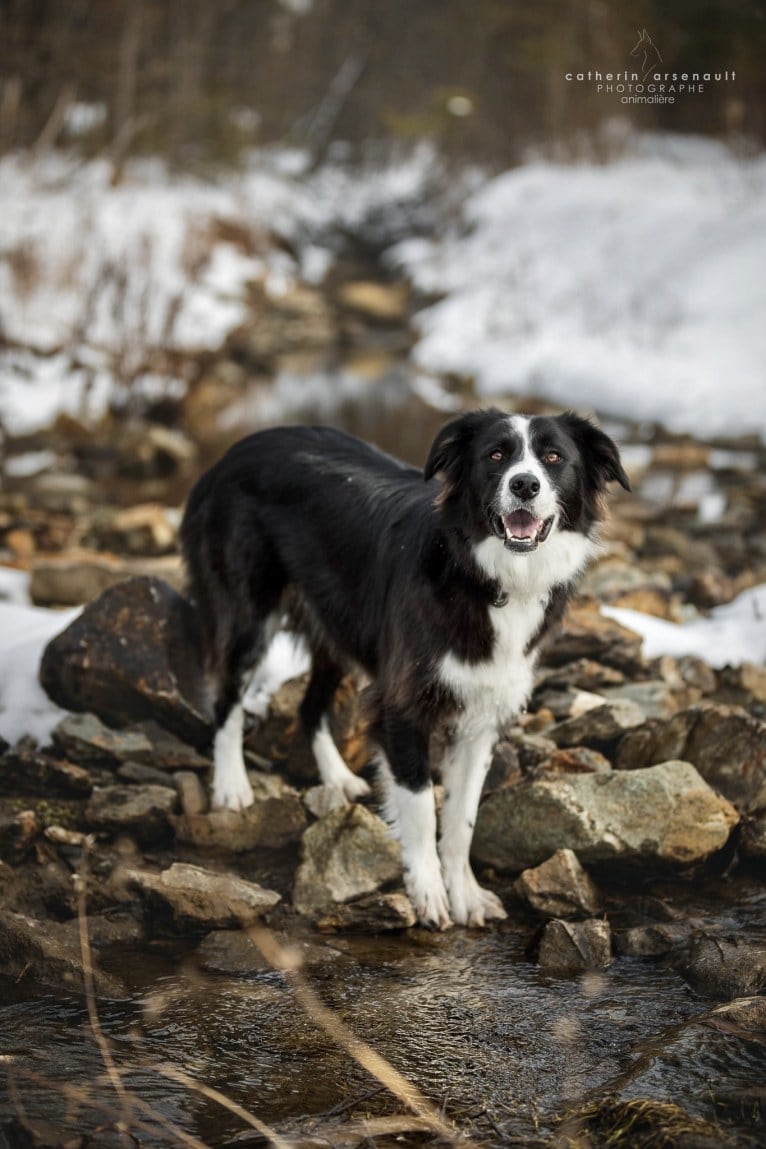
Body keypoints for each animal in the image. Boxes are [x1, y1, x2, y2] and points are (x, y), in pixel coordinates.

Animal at [180, 409, 629, 928]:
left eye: (554, 457)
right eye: (496, 455)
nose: (524, 484)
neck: (485, 577)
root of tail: (229, 455)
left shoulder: (481, 720)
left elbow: (461, 819)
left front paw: (465, 894)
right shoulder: (404, 706)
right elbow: (420, 808)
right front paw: (429, 894)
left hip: (339, 628)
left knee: (310, 708)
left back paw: (337, 779)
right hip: (250, 613)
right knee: (226, 699)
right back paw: (232, 785)